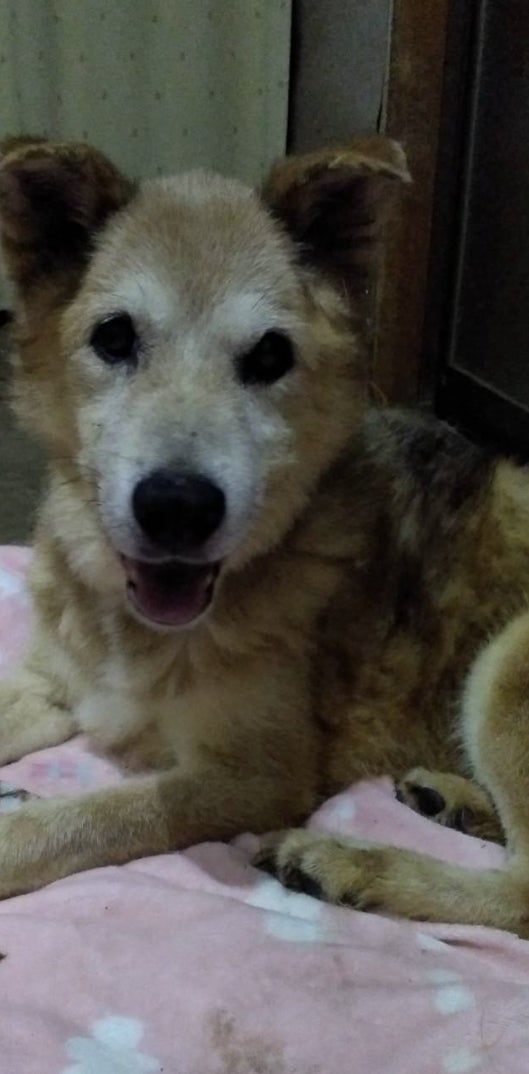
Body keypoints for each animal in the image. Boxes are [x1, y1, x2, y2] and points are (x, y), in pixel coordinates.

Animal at [0, 136, 527, 938]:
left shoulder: (255, 776)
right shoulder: (52, 684)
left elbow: (86, 817)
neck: (135, 624)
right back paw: (452, 801)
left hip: (505, 665)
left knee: (522, 893)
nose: (177, 507)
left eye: (271, 356)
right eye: (114, 338)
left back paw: (347, 864)